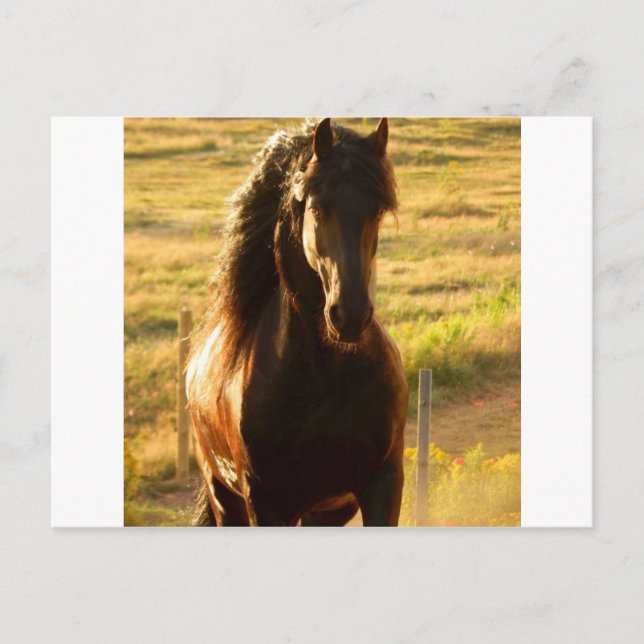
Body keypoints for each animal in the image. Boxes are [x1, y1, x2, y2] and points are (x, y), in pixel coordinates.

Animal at [186, 117, 408, 526]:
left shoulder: (383, 485)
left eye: (378, 211)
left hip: (327, 511)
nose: (350, 315)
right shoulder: (267, 503)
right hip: (225, 498)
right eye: (317, 209)